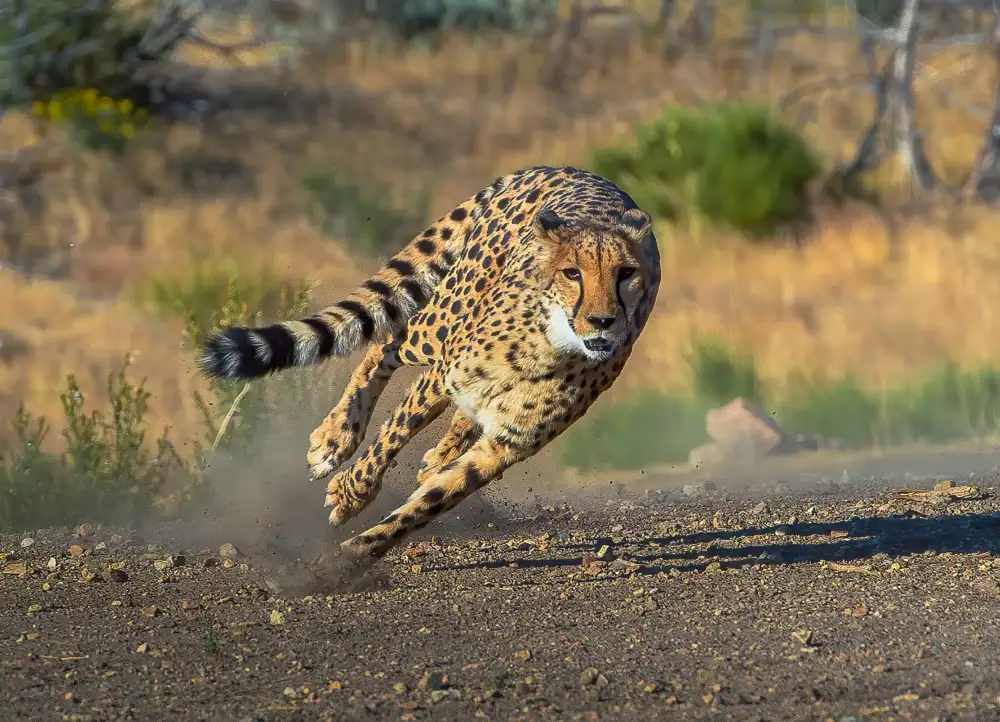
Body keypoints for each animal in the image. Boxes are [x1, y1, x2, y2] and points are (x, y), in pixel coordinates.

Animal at [199, 165, 661, 575]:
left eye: (626, 273)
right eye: (571, 273)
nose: (603, 321)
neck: (551, 348)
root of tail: (567, 169)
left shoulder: (504, 448)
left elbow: (427, 504)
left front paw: (352, 557)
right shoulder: (442, 374)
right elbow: (392, 435)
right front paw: (352, 494)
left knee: (452, 416)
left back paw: (436, 455)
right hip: (438, 325)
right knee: (386, 345)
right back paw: (336, 437)